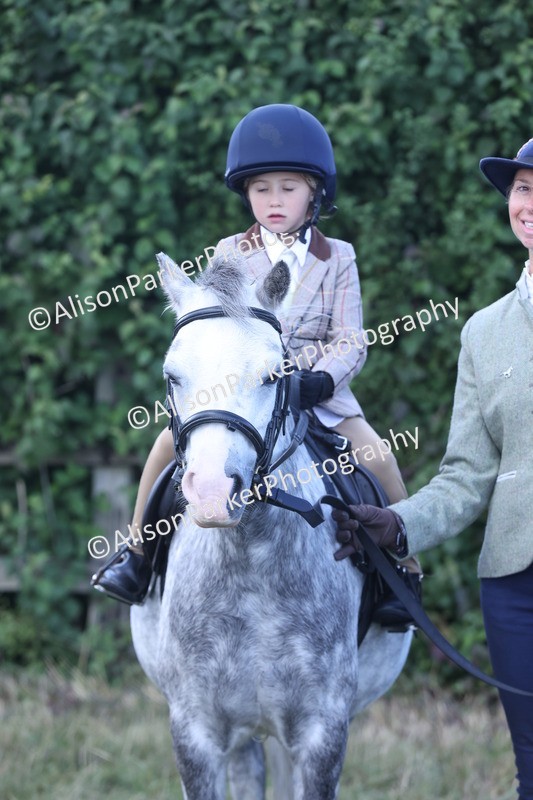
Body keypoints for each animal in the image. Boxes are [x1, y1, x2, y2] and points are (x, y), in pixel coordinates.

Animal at [130, 251, 412, 800]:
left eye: (273, 375)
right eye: (172, 375)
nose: (212, 493)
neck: (249, 562)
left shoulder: (322, 733)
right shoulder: (195, 731)